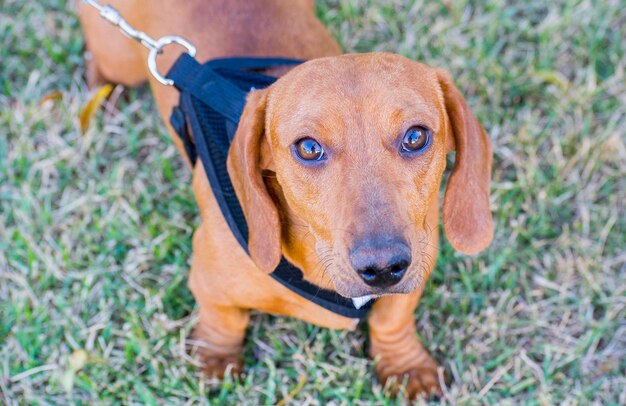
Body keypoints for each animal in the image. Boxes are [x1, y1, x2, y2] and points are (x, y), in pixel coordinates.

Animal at [77, 0, 492, 400]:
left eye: (416, 137)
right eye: (308, 148)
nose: (384, 267)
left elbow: (393, 318)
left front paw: (405, 365)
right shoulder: (208, 279)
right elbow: (222, 320)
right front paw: (215, 359)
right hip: (118, 57)